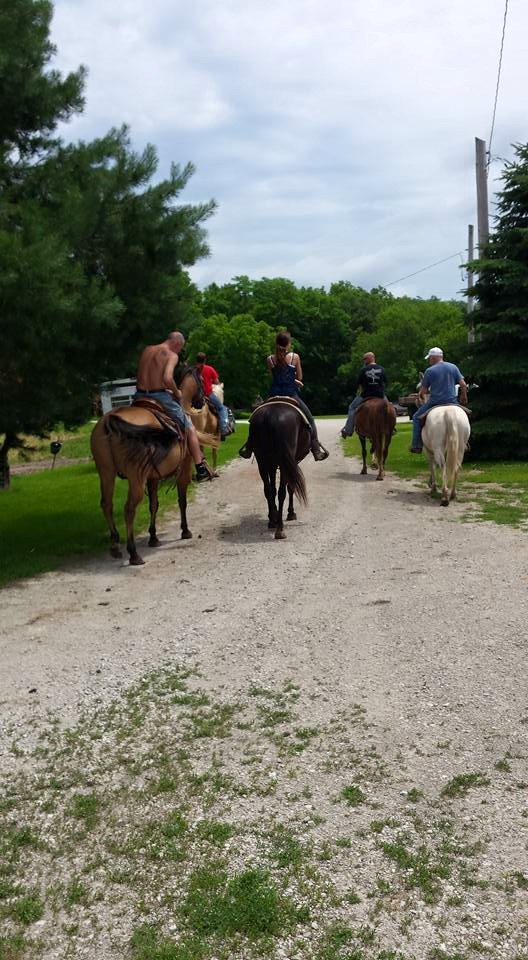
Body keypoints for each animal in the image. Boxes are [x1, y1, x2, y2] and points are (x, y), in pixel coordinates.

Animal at [90, 403, 214, 566]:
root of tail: (108, 420)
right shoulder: (184, 472)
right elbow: (182, 502)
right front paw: (185, 530)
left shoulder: (153, 478)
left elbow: (154, 505)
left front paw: (153, 538)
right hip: (135, 479)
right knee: (128, 510)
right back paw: (133, 553)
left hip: (106, 472)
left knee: (107, 505)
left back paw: (115, 544)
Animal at [249, 399, 310, 540]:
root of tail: (271, 416)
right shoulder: (292, 462)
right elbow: (289, 488)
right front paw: (291, 513)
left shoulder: (271, 464)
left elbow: (272, 489)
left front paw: (273, 515)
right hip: (283, 464)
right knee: (282, 492)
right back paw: (280, 529)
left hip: (262, 461)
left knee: (268, 490)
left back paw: (273, 521)